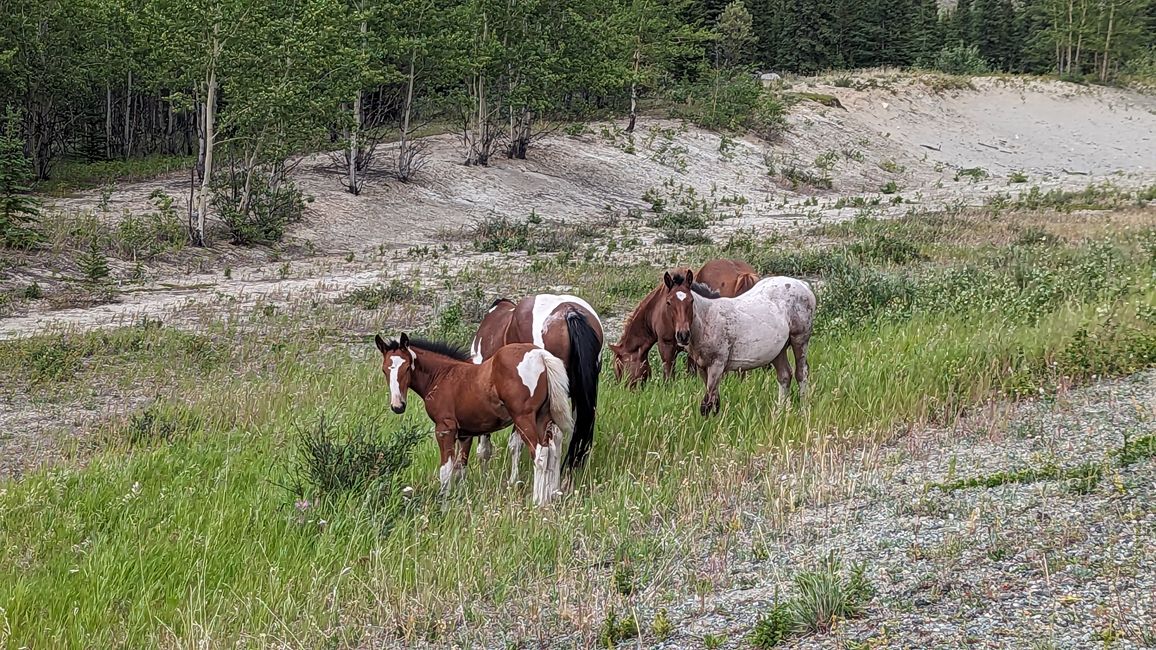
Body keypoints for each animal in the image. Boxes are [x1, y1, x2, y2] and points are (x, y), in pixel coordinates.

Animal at [374, 330, 573, 504]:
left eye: (407, 367)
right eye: (384, 370)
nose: (398, 406)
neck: (442, 376)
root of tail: (540, 355)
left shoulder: (444, 429)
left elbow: (445, 470)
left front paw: (443, 505)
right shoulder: (465, 433)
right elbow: (460, 468)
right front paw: (459, 499)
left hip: (523, 418)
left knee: (540, 453)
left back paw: (537, 501)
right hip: (543, 417)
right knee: (551, 449)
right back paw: (548, 498)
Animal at [610, 257, 762, 388]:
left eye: (618, 365)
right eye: (669, 302)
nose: (623, 387)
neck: (656, 309)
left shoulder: (666, 345)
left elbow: (669, 375)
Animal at [665, 269, 818, 414]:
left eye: (691, 301)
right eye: (668, 302)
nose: (683, 335)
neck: (708, 318)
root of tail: (803, 285)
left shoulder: (717, 364)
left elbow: (708, 404)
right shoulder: (702, 367)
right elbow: (714, 402)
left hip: (800, 340)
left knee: (801, 373)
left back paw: (803, 411)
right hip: (778, 351)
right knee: (785, 375)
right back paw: (779, 414)